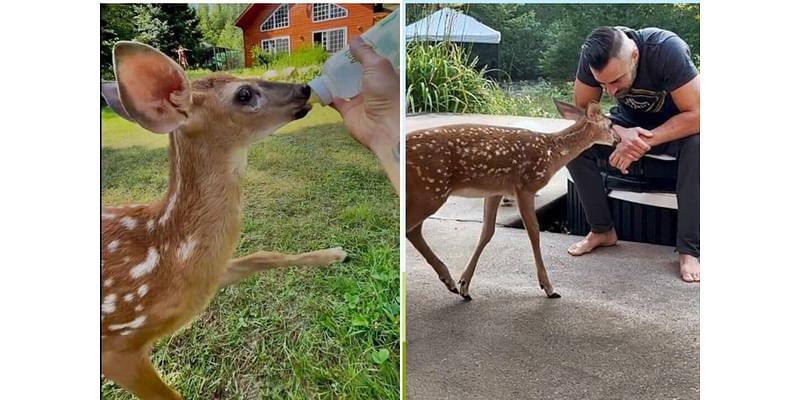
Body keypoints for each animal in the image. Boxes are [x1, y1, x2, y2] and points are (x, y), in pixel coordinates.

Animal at [101, 42, 346, 398]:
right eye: (244, 93)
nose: (304, 88)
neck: (167, 253)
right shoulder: (117, 347)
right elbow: (172, 396)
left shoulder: (210, 275)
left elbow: (262, 255)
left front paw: (334, 254)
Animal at [406, 100, 620, 300]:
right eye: (610, 124)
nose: (618, 140)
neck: (551, 153)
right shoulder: (525, 186)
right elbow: (534, 232)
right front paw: (548, 288)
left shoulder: (495, 191)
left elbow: (487, 232)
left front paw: (464, 285)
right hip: (430, 190)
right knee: (411, 228)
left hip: (428, 193)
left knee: (414, 231)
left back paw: (448, 281)